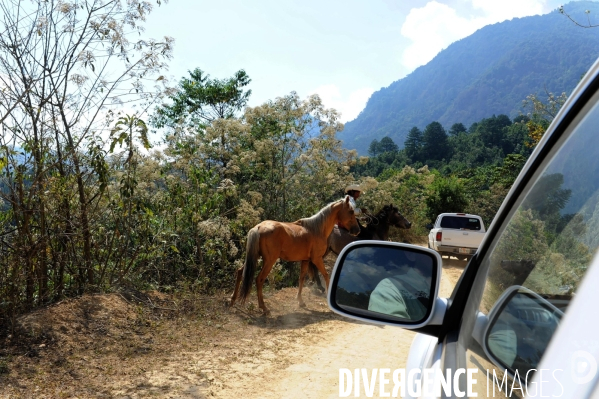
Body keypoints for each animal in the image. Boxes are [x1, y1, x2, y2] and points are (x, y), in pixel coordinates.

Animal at [231, 197, 360, 316]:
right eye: (351, 211)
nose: (357, 230)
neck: (317, 229)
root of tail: (258, 227)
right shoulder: (317, 259)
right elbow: (326, 276)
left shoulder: (305, 260)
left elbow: (301, 278)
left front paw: (300, 301)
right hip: (269, 261)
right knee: (259, 279)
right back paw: (264, 308)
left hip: (254, 258)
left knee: (240, 272)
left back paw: (233, 300)